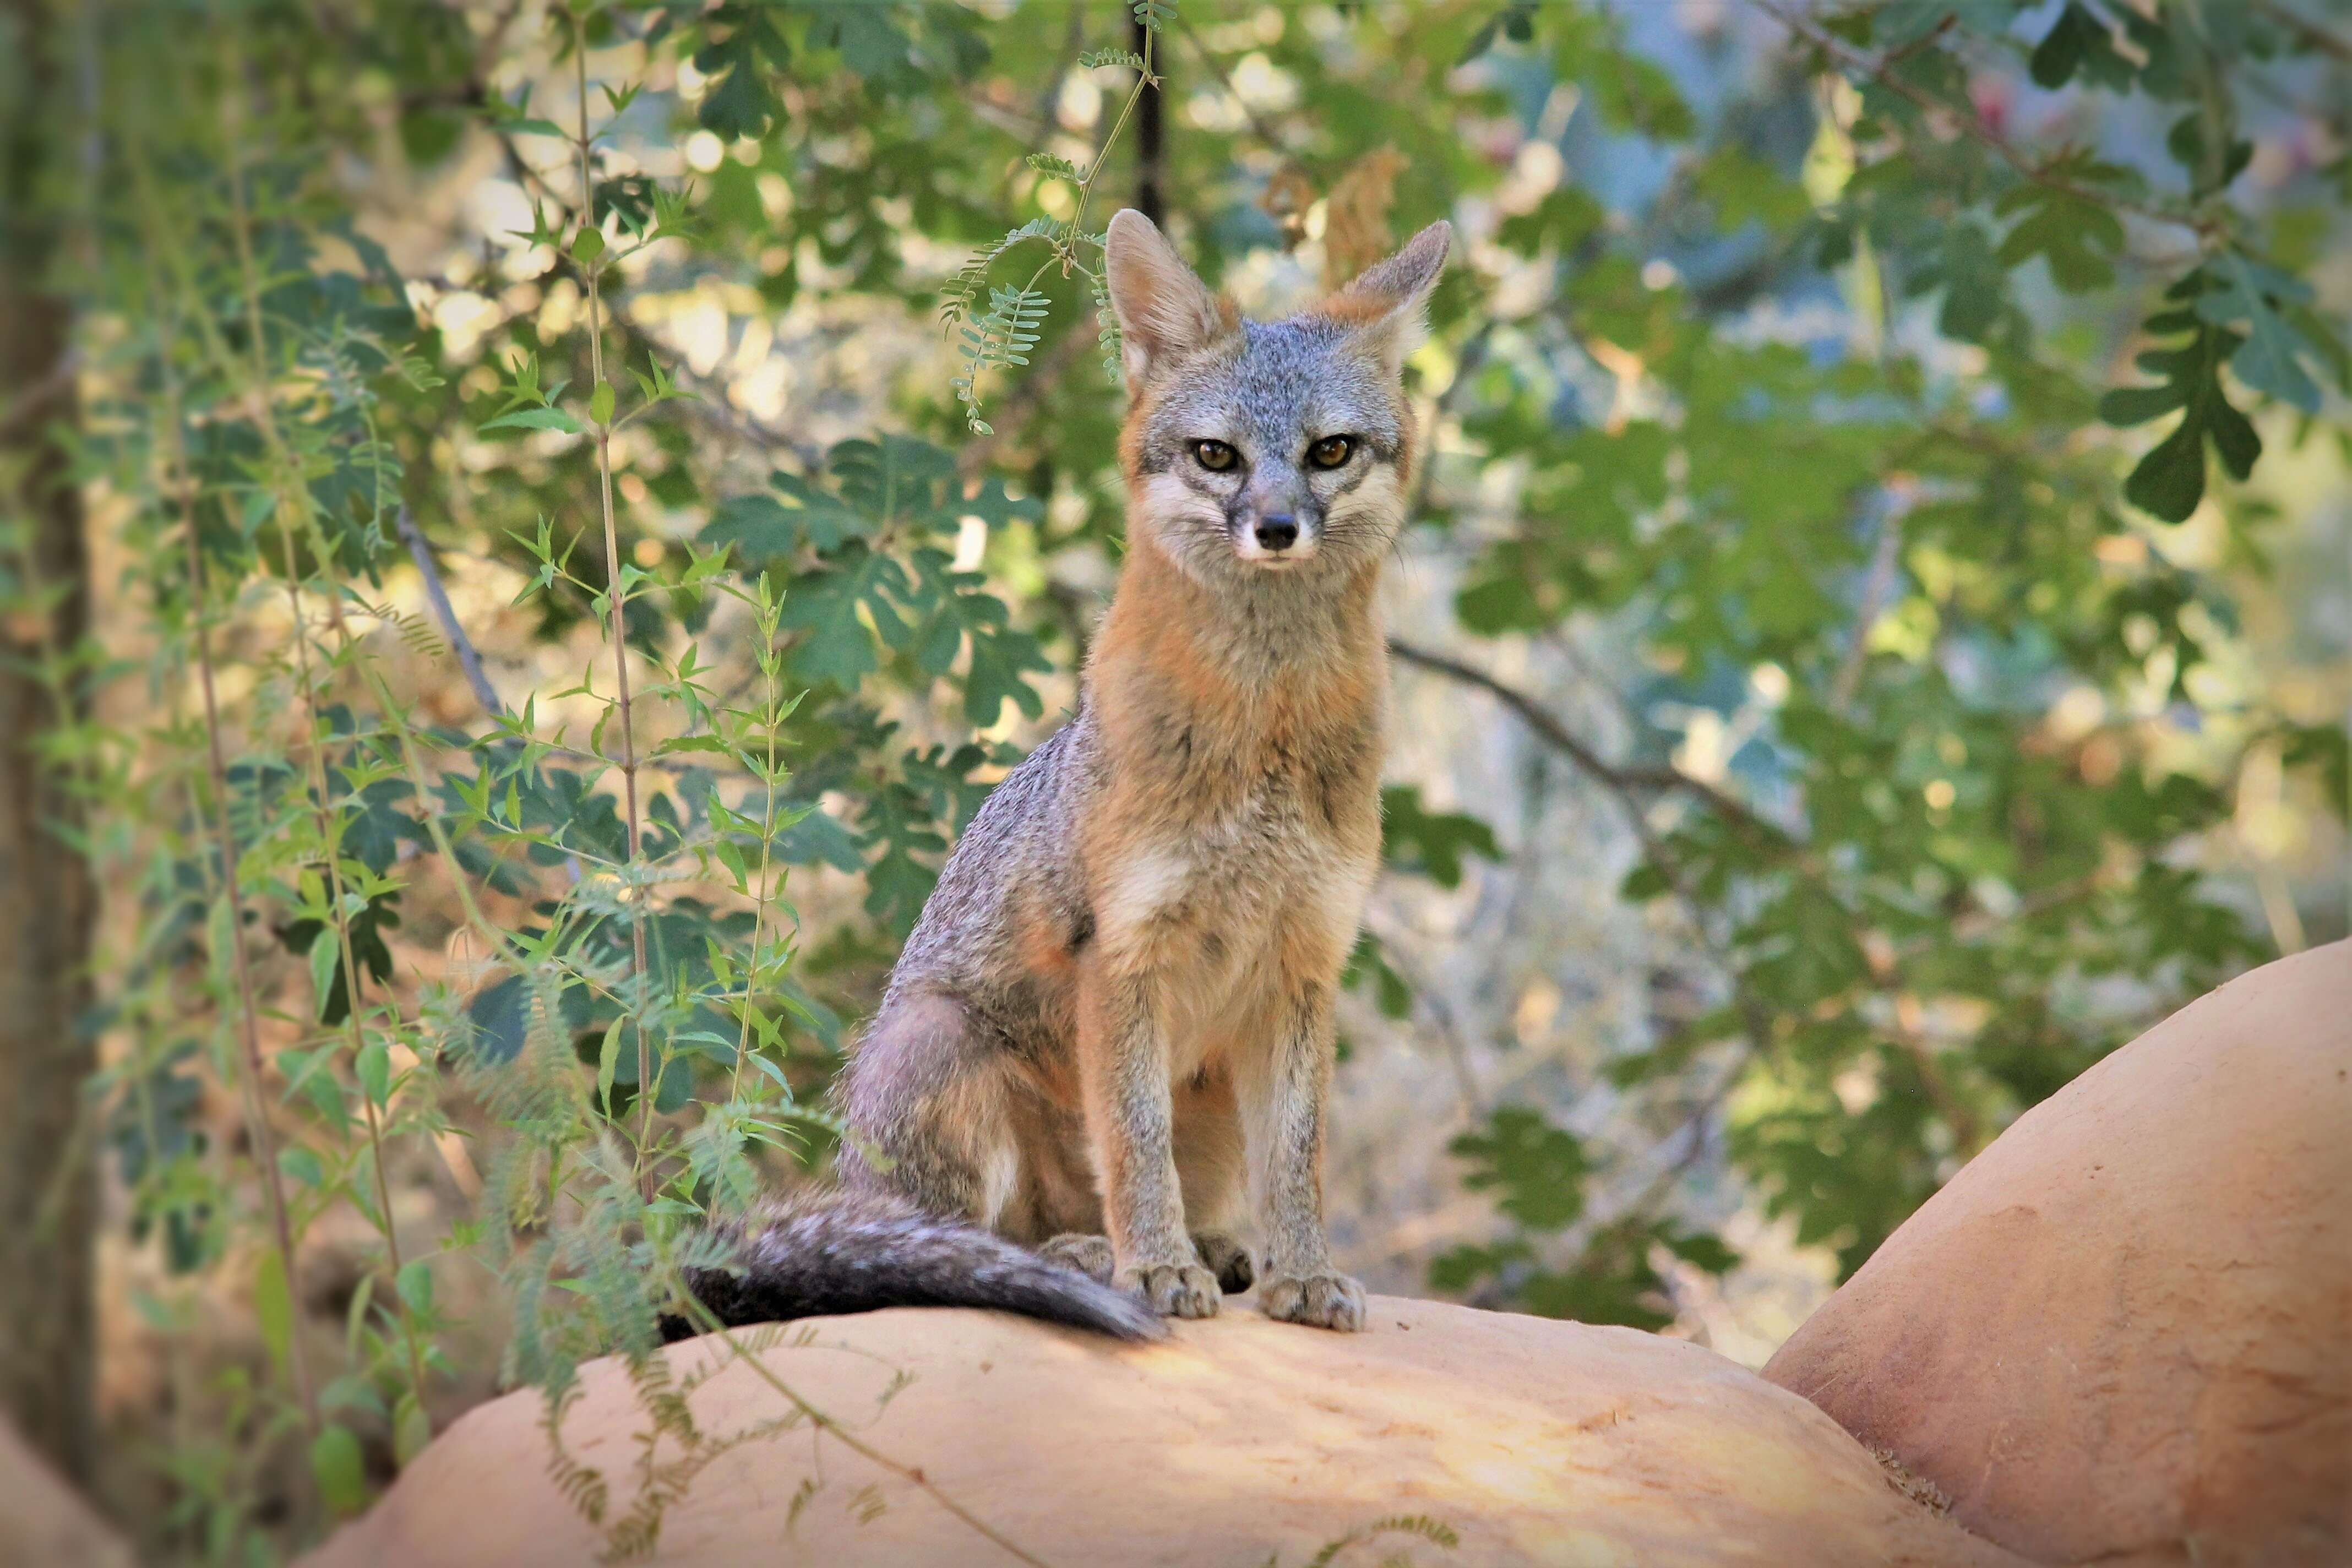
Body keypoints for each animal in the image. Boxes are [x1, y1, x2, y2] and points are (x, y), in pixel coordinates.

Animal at [677, 202, 1449, 1344]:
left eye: (1330, 451)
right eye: (1217, 455)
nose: (1274, 529)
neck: (1262, 739)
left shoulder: (1304, 963)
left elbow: (1298, 1158)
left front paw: (1302, 1275)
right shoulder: (1120, 951)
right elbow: (1131, 1142)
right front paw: (1154, 1268)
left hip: (1210, 1095)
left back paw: (1216, 1250)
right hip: (941, 1045)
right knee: (967, 1239)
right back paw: (1087, 1251)